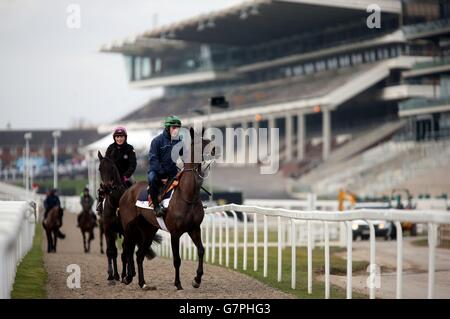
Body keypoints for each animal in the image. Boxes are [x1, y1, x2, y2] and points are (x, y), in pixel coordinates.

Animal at [117, 127, 214, 290]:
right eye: (200, 143)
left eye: (207, 141)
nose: (214, 150)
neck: (187, 196)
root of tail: (127, 191)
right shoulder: (175, 233)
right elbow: (177, 259)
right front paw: (178, 284)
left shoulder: (194, 228)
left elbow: (201, 250)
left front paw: (197, 279)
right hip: (129, 227)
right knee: (128, 250)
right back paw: (128, 277)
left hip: (148, 230)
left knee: (139, 254)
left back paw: (142, 283)